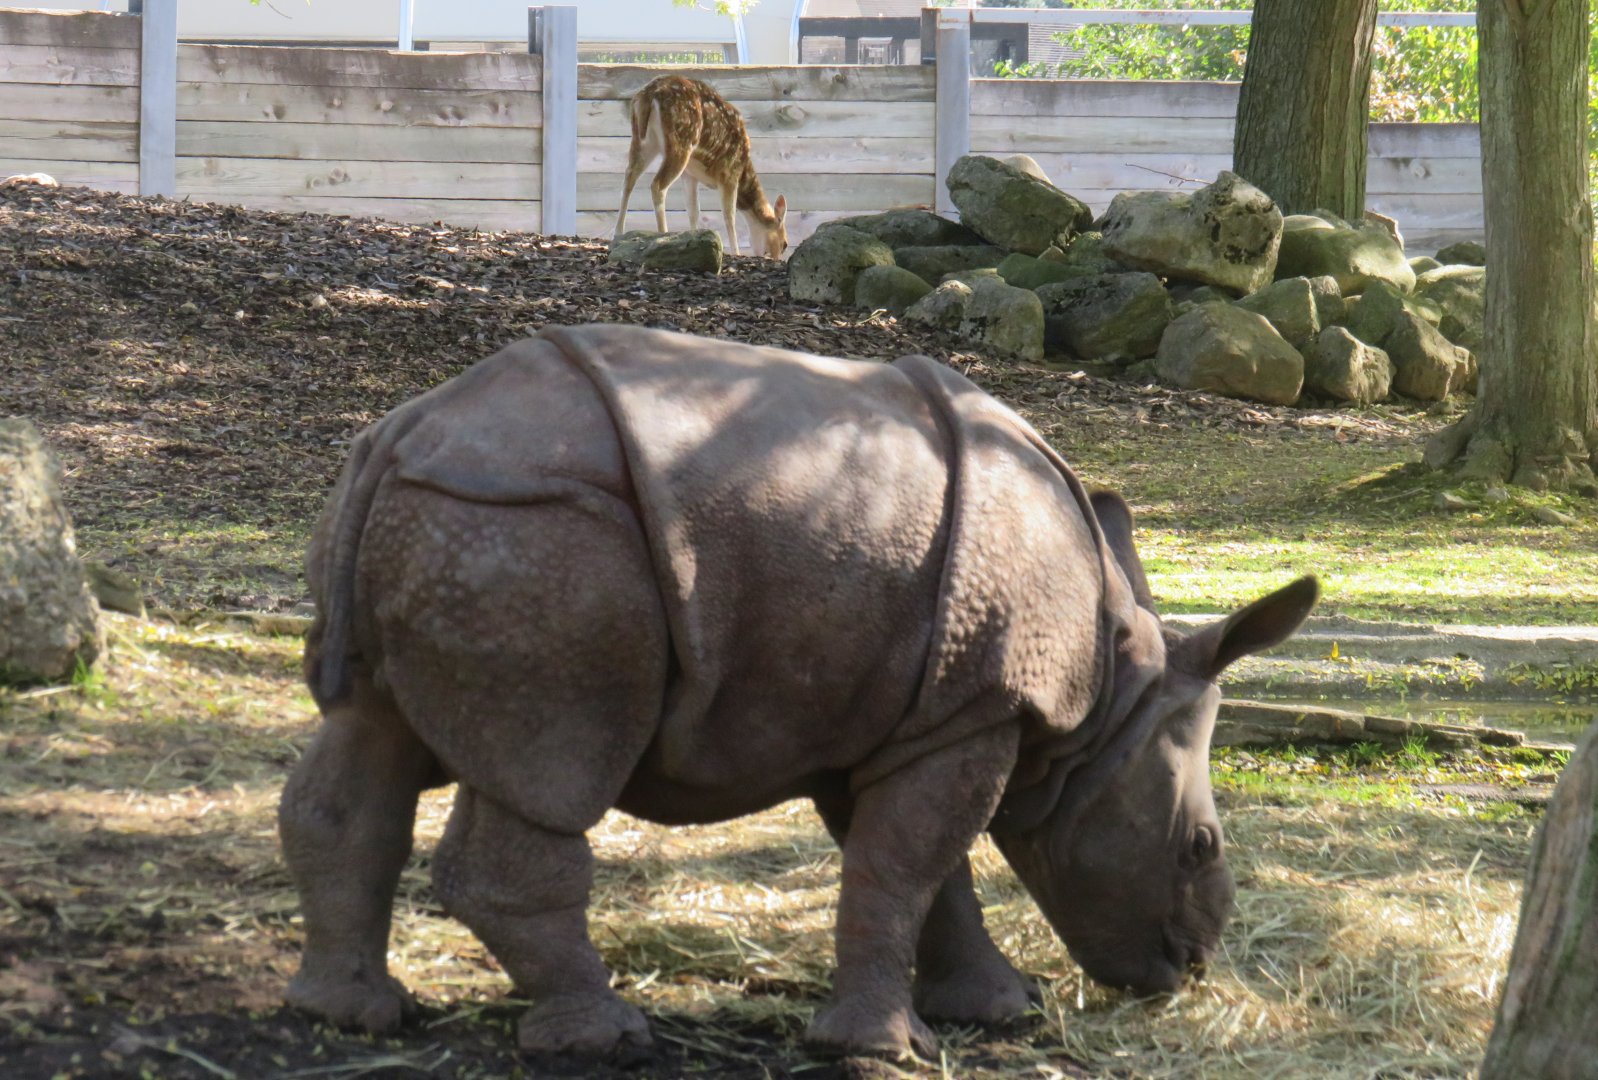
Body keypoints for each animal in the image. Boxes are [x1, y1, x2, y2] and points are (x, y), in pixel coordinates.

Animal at [280, 323, 1317, 1059]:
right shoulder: (971, 707)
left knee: (364, 737)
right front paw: (888, 1049)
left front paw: (1000, 1012)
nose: (1189, 968)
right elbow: (907, 864)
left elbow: (920, 873)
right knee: (552, 763)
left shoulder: (884, 708)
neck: (1106, 704)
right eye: (1198, 846)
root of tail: (402, 432)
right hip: (533, 532)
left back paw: (353, 1018)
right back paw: (605, 1038)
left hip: (441, 518)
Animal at [613, 75, 789, 259]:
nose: (776, 259)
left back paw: (618, 234)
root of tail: (648, 95)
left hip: (642, 141)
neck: (744, 169)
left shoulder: (690, 174)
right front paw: (736, 252)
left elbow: (693, 210)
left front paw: (694, 237)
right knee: (657, 185)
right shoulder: (729, 172)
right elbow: (729, 215)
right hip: (680, 142)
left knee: (628, 178)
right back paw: (663, 234)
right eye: (784, 244)